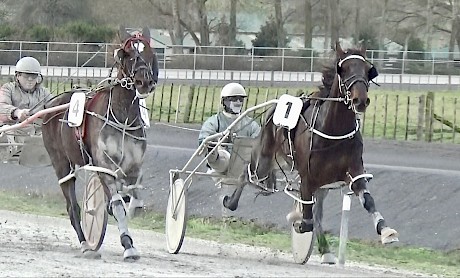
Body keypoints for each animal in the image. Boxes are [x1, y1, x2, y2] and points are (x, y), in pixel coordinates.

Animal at [41, 27, 160, 260]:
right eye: (129, 55)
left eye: (150, 54)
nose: (144, 82)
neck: (123, 118)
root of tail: (50, 104)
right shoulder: (104, 165)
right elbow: (117, 204)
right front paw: (127, 244)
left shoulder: (133, 167)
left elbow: (134, 202)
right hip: (61, 163)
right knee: (72, 206)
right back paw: (86, 244)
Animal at [221, 42, 398, 264]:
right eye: (343, 69)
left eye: (368, 70)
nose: (360, 100)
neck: (334, 130)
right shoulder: (307, 176)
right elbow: (306, 218)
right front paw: (297, 220)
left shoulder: (353, 170)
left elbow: (366, 200)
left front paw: (386, 231)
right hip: (262, 159)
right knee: (246, 174)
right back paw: (231, 202)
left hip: (321, 182)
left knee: (318, 212)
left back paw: (326, 251)